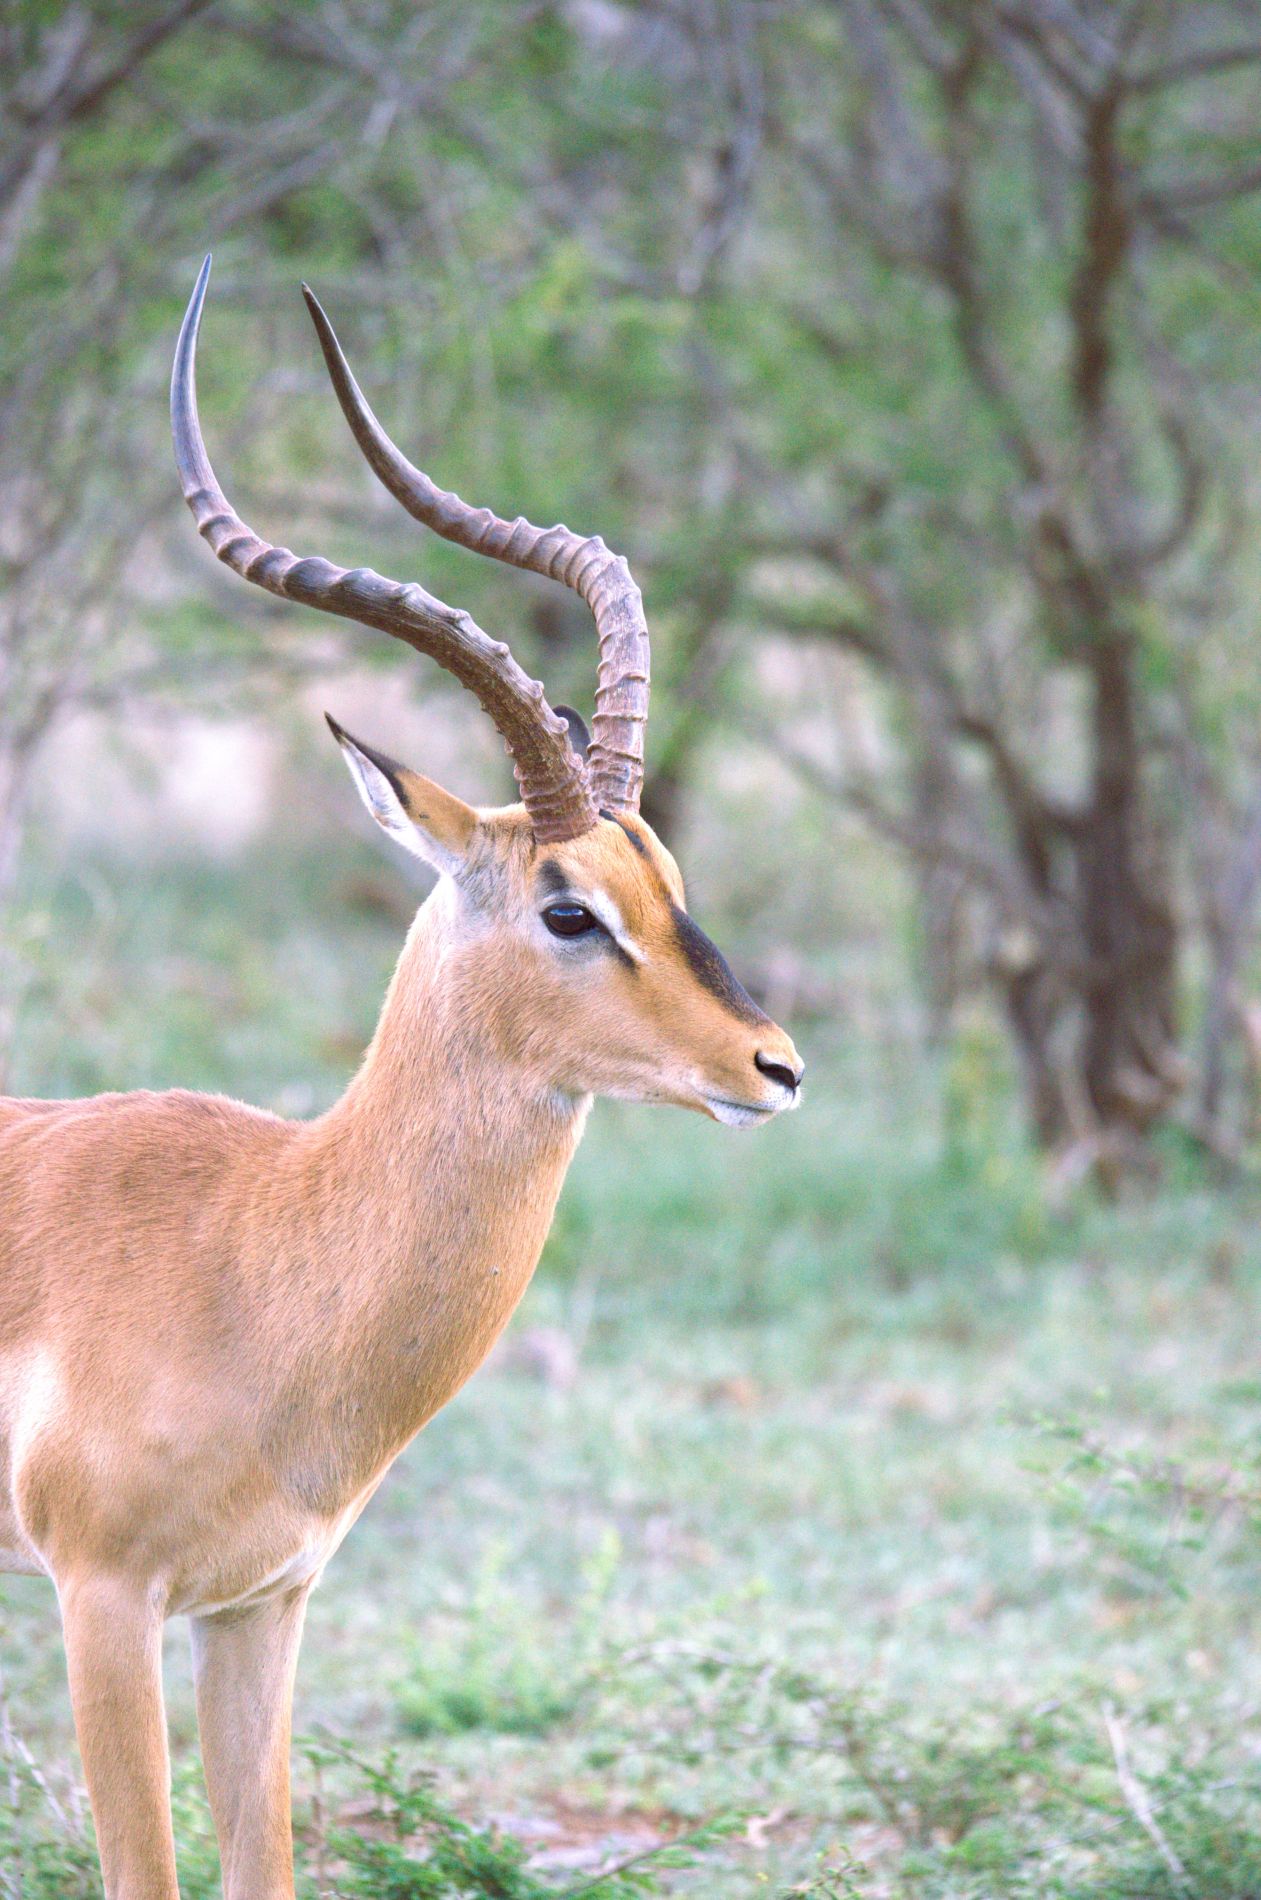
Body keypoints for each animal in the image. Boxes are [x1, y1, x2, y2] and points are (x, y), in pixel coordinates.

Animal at [0, 256, 803, 1900]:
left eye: (666, 874)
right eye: (567, 907)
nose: (774, 1065)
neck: (256, 1248)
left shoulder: (263, 1606)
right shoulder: (102, 1600)